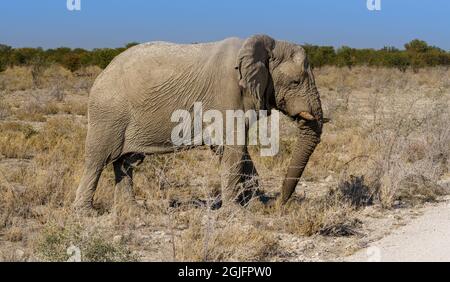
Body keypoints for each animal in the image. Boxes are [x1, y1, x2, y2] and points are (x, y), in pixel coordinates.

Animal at [74, 33, 324, 214]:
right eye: (295, 82)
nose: (277, 204)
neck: (265, 46)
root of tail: (103, 71)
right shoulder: (227, 94)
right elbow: (234, 148)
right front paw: (236, 212)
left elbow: (232, 150)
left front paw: (254, 204)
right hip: (108, 113)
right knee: (97, 160)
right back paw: (87, 214)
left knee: (125, 163)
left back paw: (133, 212)